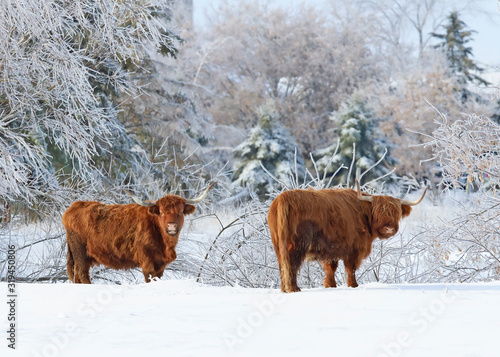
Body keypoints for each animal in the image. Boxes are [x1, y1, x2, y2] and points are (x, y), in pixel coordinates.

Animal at [62, 182, 215, 282]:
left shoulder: (161, 265)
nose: (171, 226)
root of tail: (76, 205)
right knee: (82, 274)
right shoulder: (147, 260)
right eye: (161, 212)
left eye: (181, 211)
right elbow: (149, 279)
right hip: (80, 253)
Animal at [270, 179, 426, 290]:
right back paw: (294, 288)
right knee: (292, 263)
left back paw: (284, 289)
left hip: (278, 245)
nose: (389, 228)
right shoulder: (353, 248)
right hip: (298, 243)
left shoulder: (330, 248)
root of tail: (284, 197)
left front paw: (330, 285)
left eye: (396, 212)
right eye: (378, 212)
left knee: (282, 264)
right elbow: (351, 268)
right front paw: (353, 285)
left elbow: (331, 268)